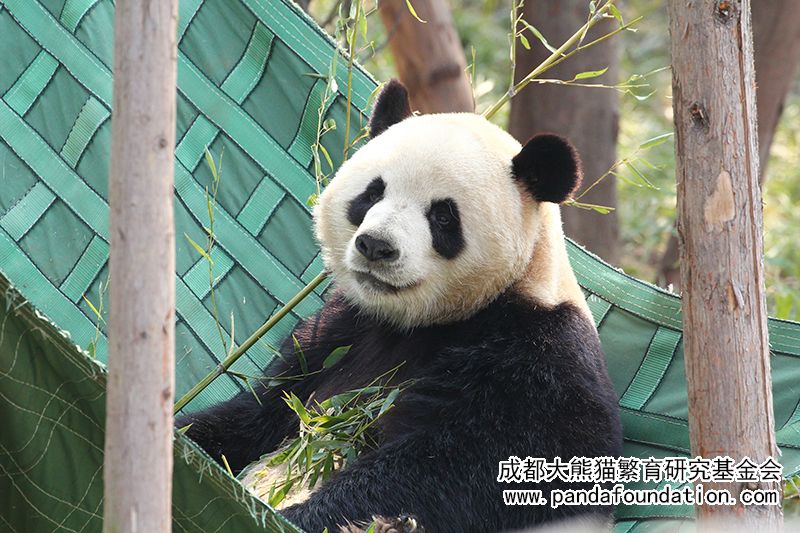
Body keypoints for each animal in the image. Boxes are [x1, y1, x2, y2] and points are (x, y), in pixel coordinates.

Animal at [177, 79, 623, 533]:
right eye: (373, 192)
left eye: (443, 216)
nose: (376, 246)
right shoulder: (340, 329)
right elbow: (259, 412)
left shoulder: (537, 356)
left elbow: (462, 466)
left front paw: (310, 513)